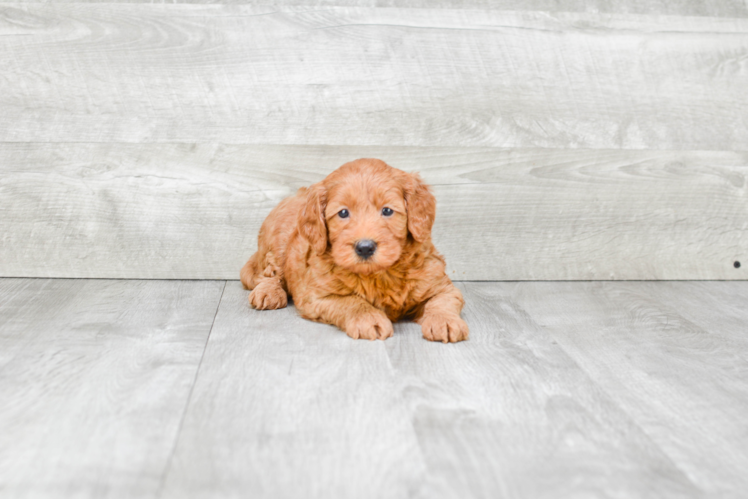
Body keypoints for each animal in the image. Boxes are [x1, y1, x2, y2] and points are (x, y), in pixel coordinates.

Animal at [241, 158, 468, 342]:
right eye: (343, 213)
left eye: (387, 210)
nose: (365, 247)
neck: (379, 275)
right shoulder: (317, 295)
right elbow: (351, 301)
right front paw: (369, 319)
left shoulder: (440, 285)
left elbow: (441, 302)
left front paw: (445, 322)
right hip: (278, 239)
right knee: (271, 272)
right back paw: (268, 292)